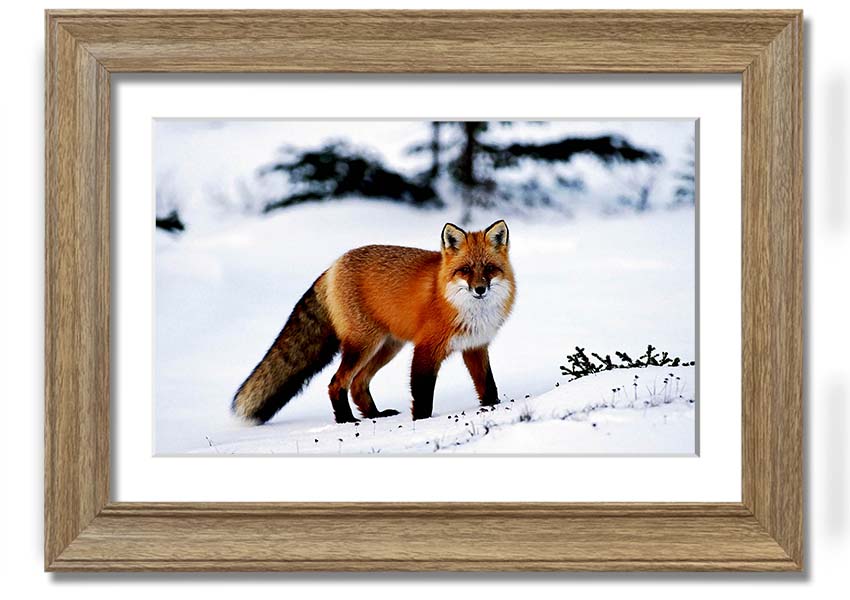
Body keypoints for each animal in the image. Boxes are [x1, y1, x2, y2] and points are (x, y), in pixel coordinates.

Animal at [232, 219, 515, 424]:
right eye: (465, 270)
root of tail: (333, 266)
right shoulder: (426, 348)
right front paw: (422, 422)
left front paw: (493, 407)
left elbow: (488, 386)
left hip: (387, 346)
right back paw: (346, 420)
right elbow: (422, 394)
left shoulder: (475, 346)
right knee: (337, 383)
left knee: (358, 384)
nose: (480, 289)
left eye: (489, 269)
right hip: (363, 345)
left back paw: (374, 415)